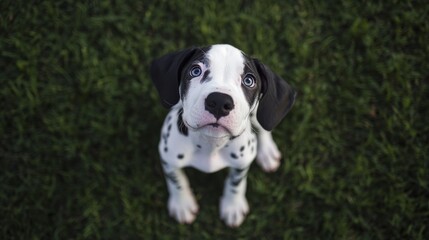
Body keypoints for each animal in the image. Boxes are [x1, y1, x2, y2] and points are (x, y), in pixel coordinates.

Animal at [150, 44, 294, 227]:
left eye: (249, 80)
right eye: (195, 70)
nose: (219, 101)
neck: (210, 144)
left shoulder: (242, 162)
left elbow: (236, 183)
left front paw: (233, 206)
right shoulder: (168, 158)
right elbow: (176, 180)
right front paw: (182, 204)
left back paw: (267, 152)